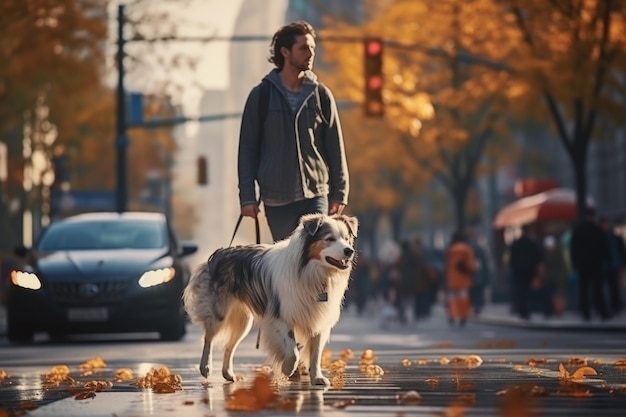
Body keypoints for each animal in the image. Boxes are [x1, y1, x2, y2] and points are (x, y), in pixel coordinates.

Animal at [182, 213, 356, 386]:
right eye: (329, 239)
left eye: (347, 239)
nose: (350, 251)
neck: (312, 271)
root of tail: (219, 253)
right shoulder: (280, 314)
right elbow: (293, 350)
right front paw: (287, 369)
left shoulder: (320, 318)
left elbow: (316, 352)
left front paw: (317, 377)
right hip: (220, 312)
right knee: (208, 337)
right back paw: (205, 367)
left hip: (243, 320)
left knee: (229, 346)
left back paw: (228, 374)